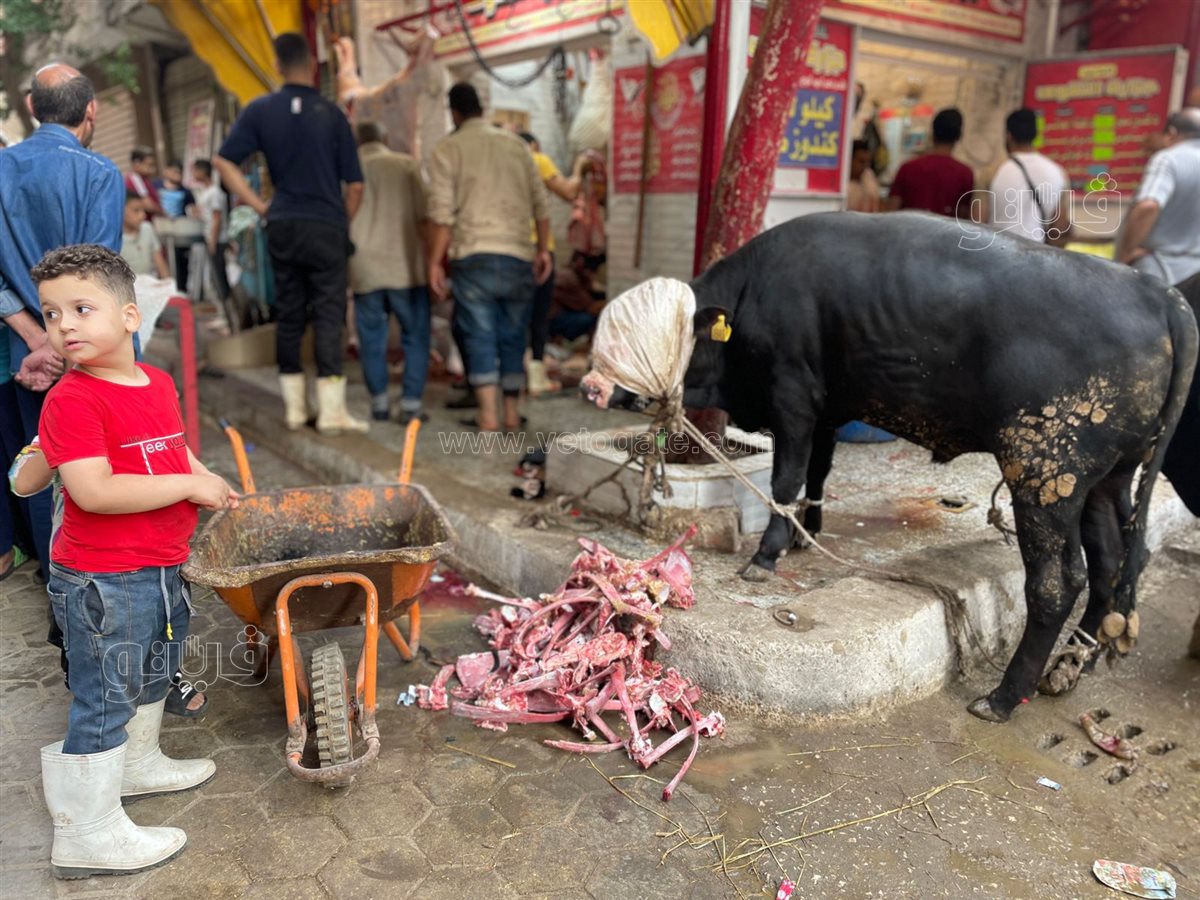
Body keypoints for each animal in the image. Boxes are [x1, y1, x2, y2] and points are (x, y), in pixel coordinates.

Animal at [582, 212, 1198, 724]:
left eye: (650, 338)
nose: (590, 385)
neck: (753, 294)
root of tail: (1153, 290)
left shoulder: (794, 399)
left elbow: (786, 478)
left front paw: (766, 554)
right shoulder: (829, 408)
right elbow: (818, 474)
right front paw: (807, 532)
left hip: (1045, 471)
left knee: (1058, 581)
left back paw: (1003, 696)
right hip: (1106, 477)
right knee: (1114, 558)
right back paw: (1074, 660)